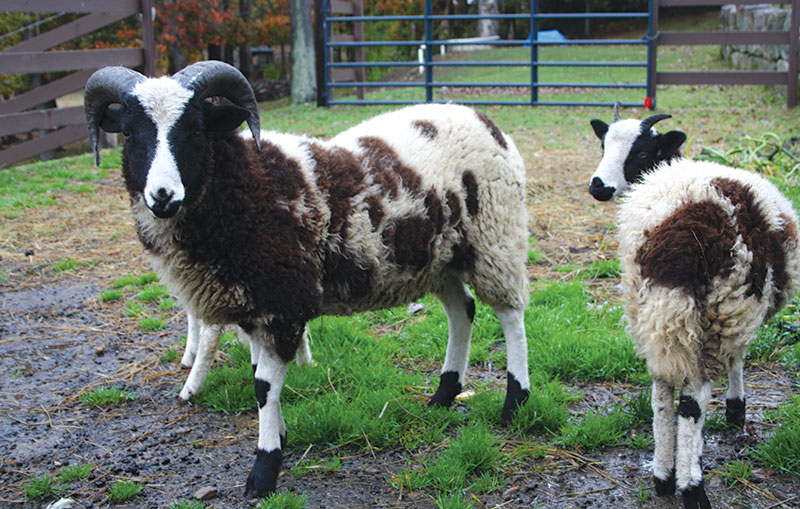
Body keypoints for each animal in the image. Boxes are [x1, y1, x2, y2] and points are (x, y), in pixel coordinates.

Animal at [84, 61, 531, 498]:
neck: (246, 185)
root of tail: (480, 118)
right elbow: (259, 376)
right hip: (439, 256)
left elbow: (263, 385)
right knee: (462, 311)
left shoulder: (284, 302)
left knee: (510, 315)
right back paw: (443, 395)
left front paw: (264, 471)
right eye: (129, 133)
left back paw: (515, 402)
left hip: (495, 238)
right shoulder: (254, 305)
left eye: (195, 129)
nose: (162, 195)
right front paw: (279, 436)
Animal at [588, 106, 800, 508]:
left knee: (661, 394)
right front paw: (736, 407)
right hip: (720, 310)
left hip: (655, 312)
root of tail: (682, 238)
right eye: (603, 145)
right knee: (692, 402)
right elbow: (738, 358)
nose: (598, 186)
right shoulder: (739, 313)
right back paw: (692, 486)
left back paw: (663, 475)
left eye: (641, 151)